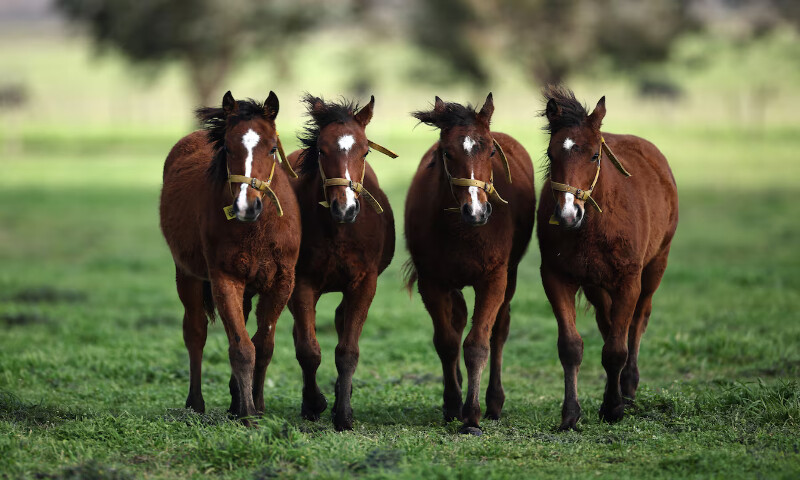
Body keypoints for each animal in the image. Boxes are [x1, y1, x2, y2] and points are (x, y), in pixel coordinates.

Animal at [159, 91, 301, 426]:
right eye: (227, 147)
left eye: (272, 148)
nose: (246, 206)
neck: (257, 229)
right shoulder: (224, 279)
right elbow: (241, 347)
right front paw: (248, 414)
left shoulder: (282, 283)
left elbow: (263, 345)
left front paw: (255, 406)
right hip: (188, 275)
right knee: (195, 332)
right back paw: (196, 403)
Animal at [285, 94, 395, 431]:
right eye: (322, 149)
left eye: (366, 150)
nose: (345, 208)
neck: (339, 229)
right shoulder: (302, 283)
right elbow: (308, 349)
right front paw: (314, 404)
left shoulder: (363, 283)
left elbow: (347, 350)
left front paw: (343, 413)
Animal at [405, 94, 536, 435]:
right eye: (446, 153)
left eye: (490, 150)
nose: (476, 211)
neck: (463, 230)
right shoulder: (432, 282)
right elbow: (447, 342)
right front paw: (453, 404)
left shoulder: (493, 279)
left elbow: (477, 345)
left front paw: (472, 416)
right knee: (459, 320)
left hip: (510, 277)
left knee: (499, 331)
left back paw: (494, 401)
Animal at [536, 85, 678, 430]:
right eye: (551, 154)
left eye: (594, 155)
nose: (567, 214)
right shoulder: (556, 277)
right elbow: (571, 347)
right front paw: (570, 413)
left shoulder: (628, 281)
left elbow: (616, 348)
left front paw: (613, 407)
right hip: (596, 286)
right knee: (607, 322)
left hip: (654, 268)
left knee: (636, 323)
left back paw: (627, 388)